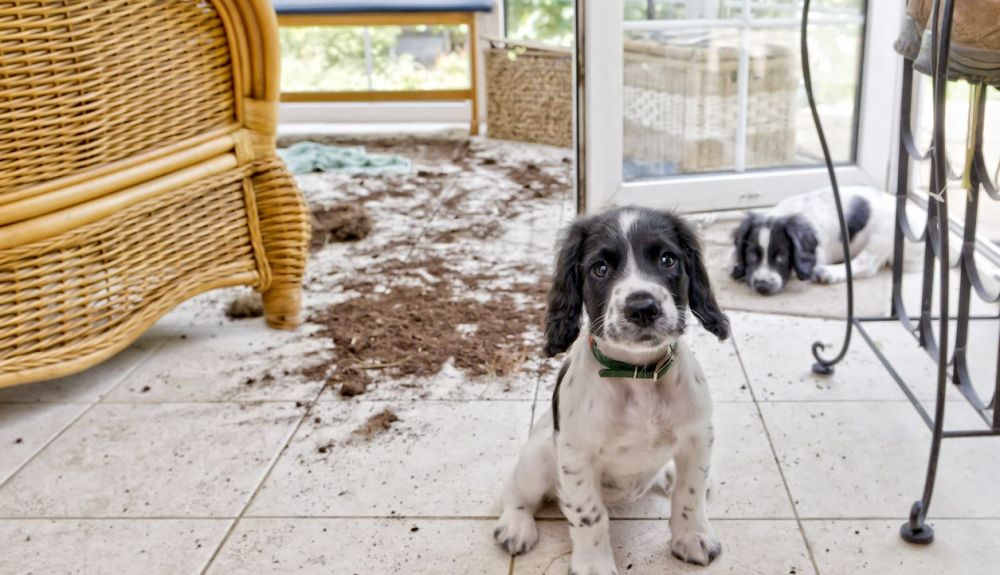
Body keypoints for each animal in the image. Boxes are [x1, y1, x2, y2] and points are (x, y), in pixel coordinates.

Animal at [496, 207, 732, 575]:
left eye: (667, 259)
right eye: (600, 269)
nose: (643, 307)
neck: (638, 376)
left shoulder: (698, 437)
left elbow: (690, 494)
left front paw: (693, 537)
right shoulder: (576, 457)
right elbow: (589, 516)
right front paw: (594, 565)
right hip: (537, 460)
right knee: (514, 491)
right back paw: (515, 526)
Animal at [728, 186, 900, 294]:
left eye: (781, 258)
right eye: (751, 256)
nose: (762, 286)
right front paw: (738, 267)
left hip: (882, 235)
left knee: (866, 264)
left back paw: (828, 273)